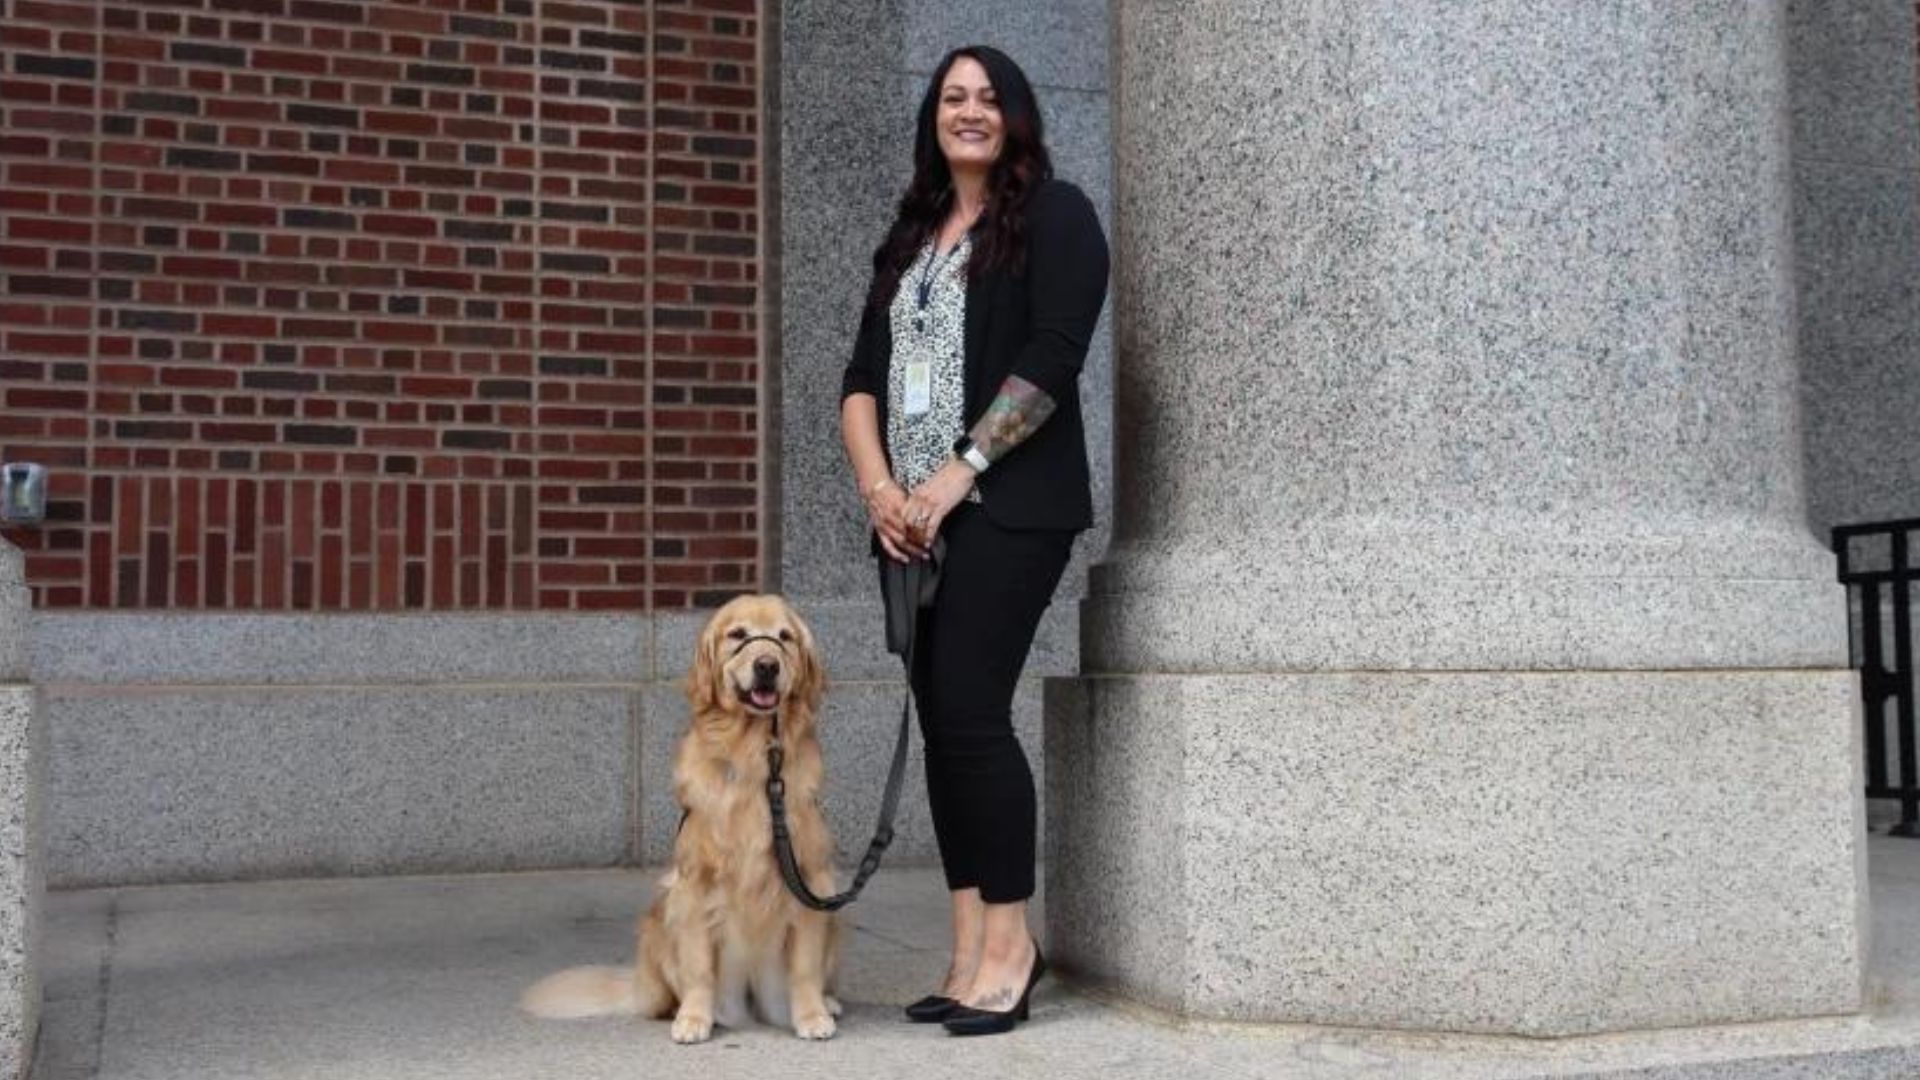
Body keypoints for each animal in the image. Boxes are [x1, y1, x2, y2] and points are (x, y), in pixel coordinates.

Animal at [518, 591, 840, 1037]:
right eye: (738, 635)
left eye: (784, 637)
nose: (767, 666)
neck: (753, 757)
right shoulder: (693, 887)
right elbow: (699, 967)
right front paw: (694, 1018)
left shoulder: (811, 877)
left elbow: (805, 968)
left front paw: (811, 1015)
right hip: (660, 915)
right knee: (666, 995)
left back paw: (826, 1002)